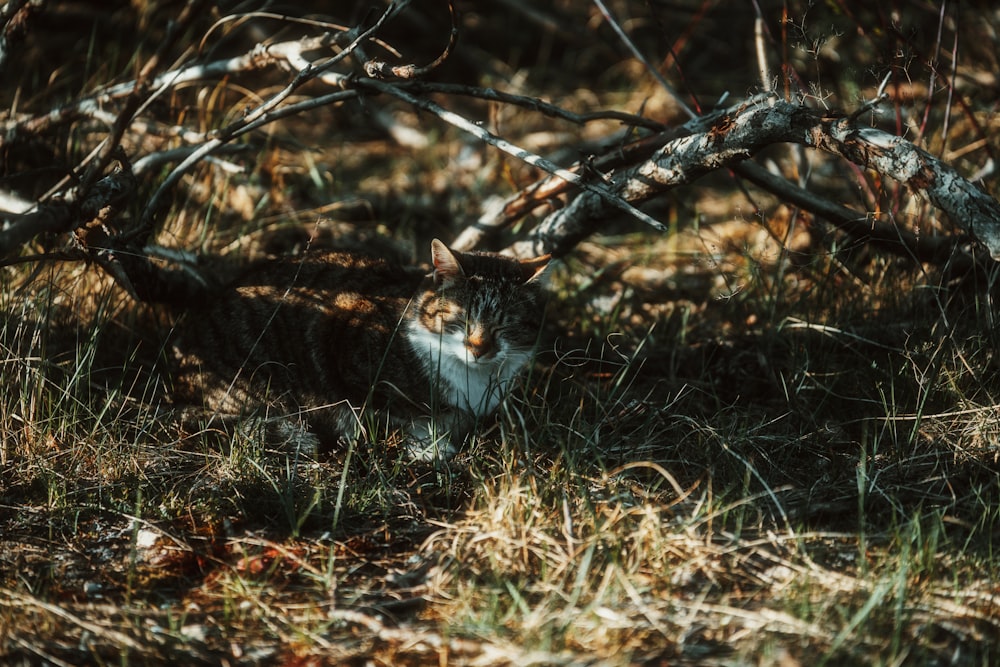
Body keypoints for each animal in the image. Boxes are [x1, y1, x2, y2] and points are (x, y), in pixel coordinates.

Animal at [168, 240, 552, 460]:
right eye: (462, 319)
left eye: (504, 325)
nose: (479, 350)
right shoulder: (341, 327)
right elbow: (404, 411)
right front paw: (426, 442)